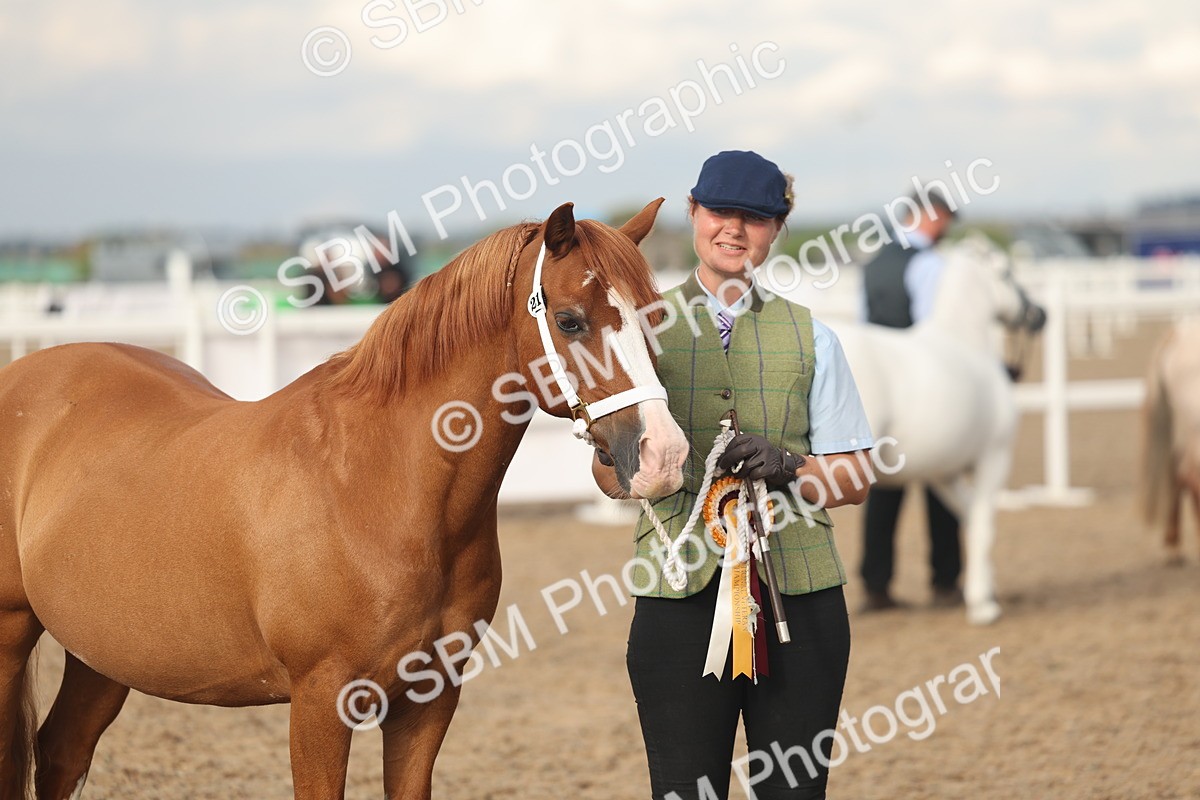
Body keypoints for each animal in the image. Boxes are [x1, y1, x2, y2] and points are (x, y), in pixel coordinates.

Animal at [0, 200, 689, 800]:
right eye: (570, 320)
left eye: (655, 317)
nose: (662, 455)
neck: (374, 487)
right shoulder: (319, 704)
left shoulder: (428, 699)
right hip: (13, 635)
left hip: (102, 654)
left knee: (60, 751)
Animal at [797, 235, 1046, 625]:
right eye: (1006, 272)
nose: (1039, 314)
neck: (965, 343)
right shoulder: (994, 458)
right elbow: (984, 527)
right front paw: (982, 606)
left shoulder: (944, 474)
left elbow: (969, 518)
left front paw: (985, 590)